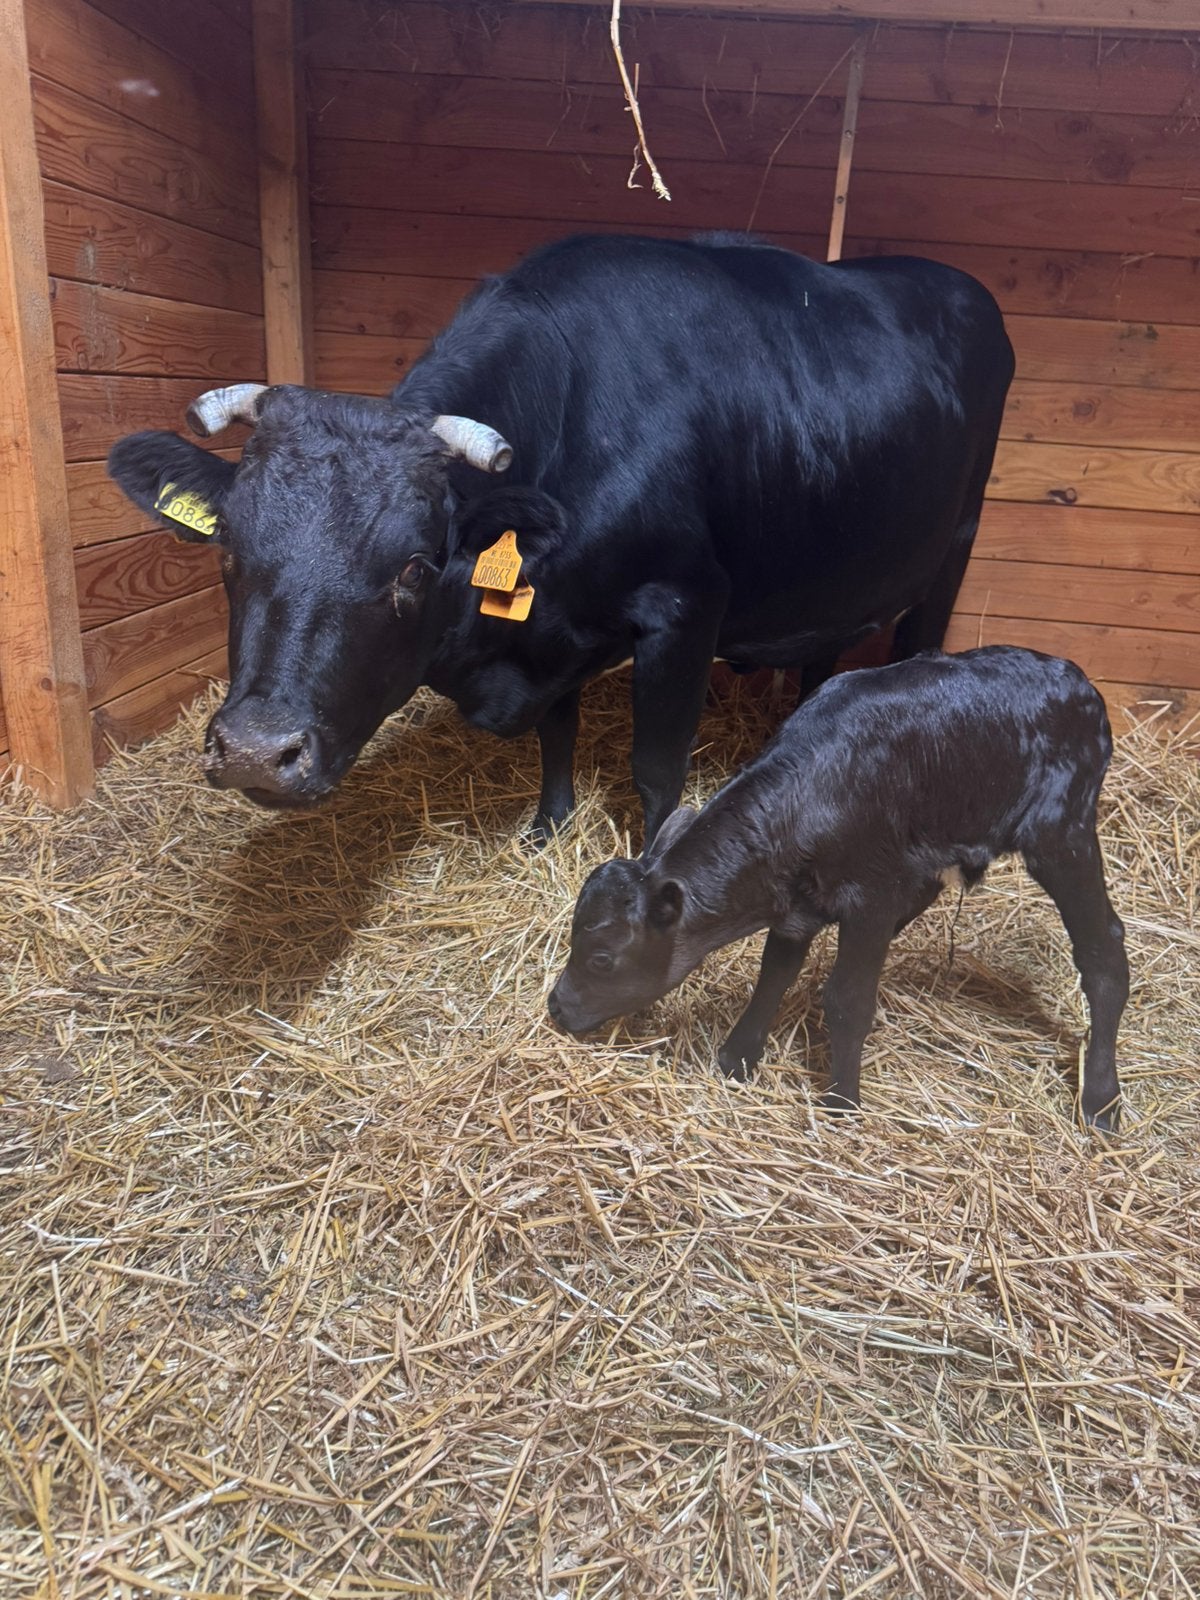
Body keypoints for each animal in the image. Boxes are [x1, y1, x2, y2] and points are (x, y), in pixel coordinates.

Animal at [106, 233, 1014, 845]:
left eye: (413, 568)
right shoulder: (546, 620)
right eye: (228, 550)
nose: (258, 753)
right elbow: (558, 733)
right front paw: (546, 829)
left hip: (956, 549)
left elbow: (657, 771)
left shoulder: (687, 609)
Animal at [548, 647, 1128, 1131]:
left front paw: (841, 1103)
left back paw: (1101, 1100)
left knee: (1104, 950)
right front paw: (737, 1058)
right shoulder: (800, 907)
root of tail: (1079, 681)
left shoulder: (870, 895)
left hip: (1062, 834)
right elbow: (773, 976)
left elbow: (848, 998)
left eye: (601, 958)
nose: (556, 1006)